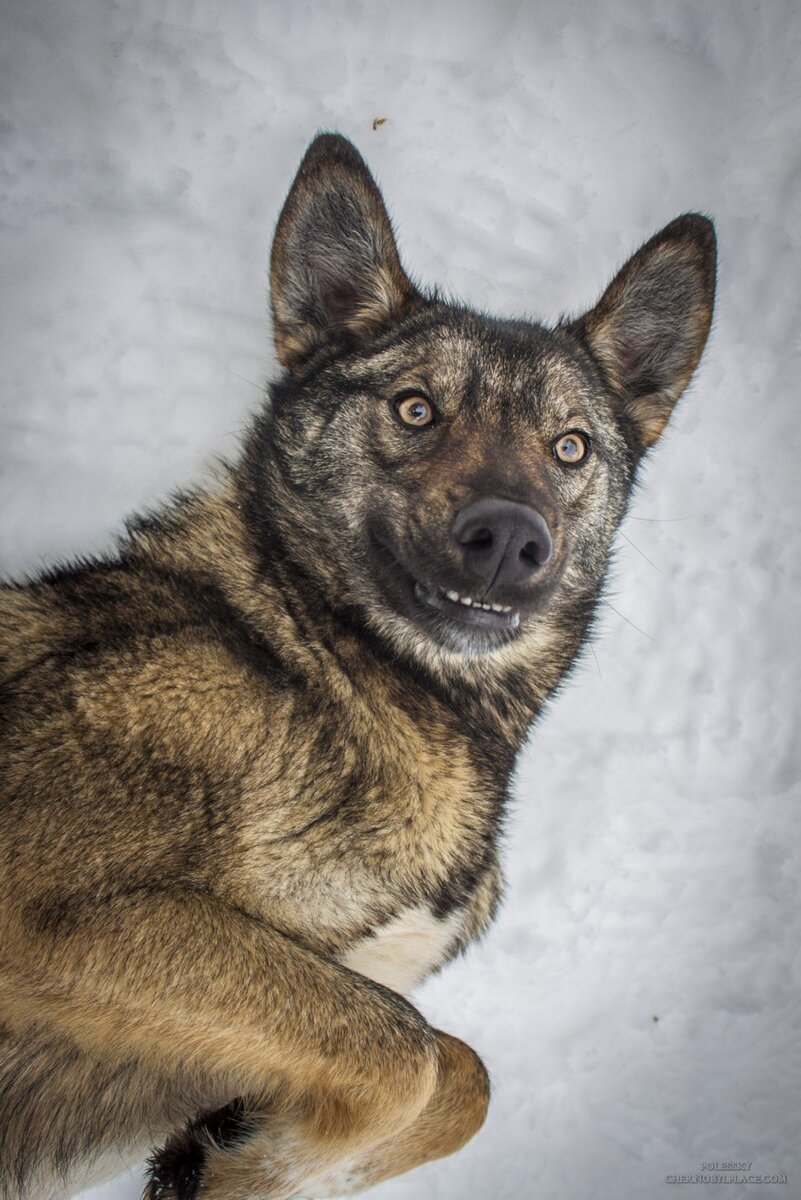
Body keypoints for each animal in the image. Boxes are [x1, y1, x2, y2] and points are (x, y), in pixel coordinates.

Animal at [0, 133, 714, 1200]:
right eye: (415, 409)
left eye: (569, 447)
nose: (510, 540)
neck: (332, 669)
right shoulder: (53, 897)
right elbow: (406, 1055)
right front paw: (260, 1172)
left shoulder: (345, 987)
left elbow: (459, 1073)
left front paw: (242, 1165)